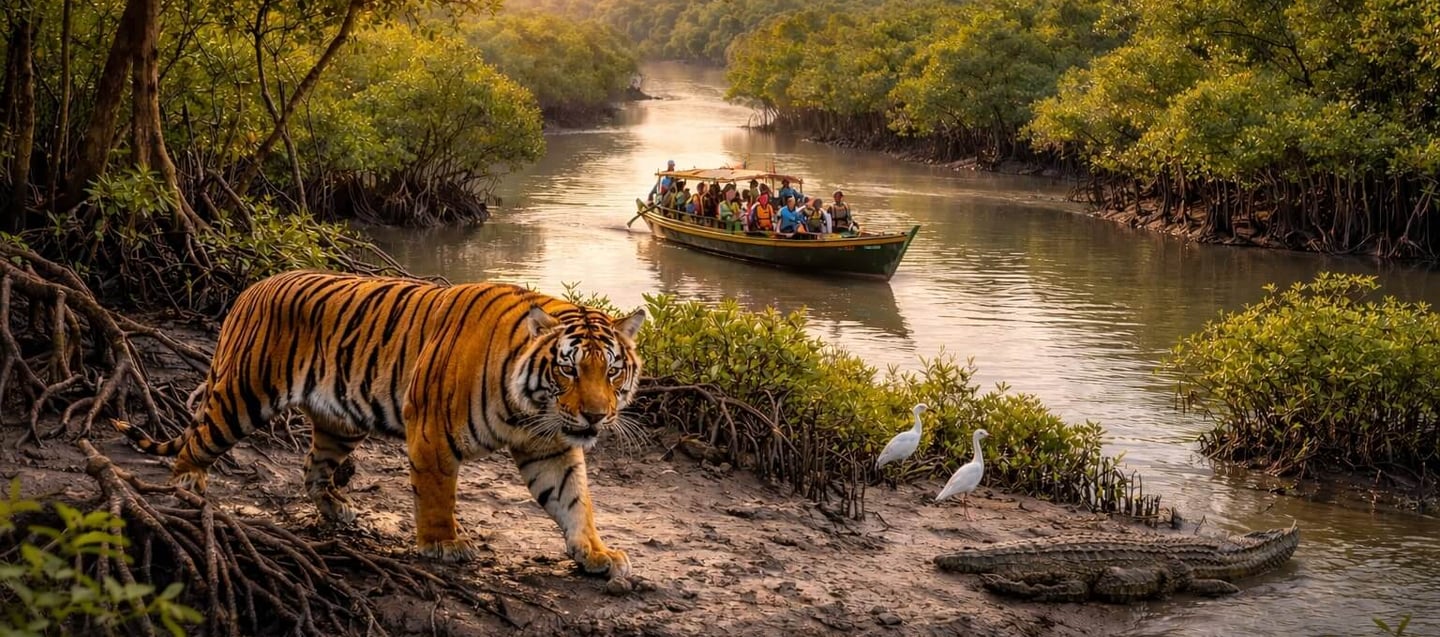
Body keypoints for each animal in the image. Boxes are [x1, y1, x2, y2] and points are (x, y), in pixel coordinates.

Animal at [113, 270, 645, 578]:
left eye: (611, 370)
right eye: (569, 369)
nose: (596, 415)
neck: (531, 408)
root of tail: (253, 288)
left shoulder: (550, 447)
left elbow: (574, 501)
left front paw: (596, 553)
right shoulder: (432, 432)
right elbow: (437, 496)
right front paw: (444, 545)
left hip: (341, 422)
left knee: (312, 468)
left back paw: (336, 508)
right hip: (242, 395)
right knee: (198, 440)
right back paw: (187, 482)